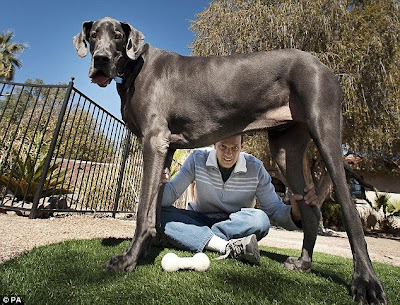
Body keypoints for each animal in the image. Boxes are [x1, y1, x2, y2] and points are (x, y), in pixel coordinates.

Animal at [73, 17, 386, 304]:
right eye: (93, 35)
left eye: (117, 36)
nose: (100, 60)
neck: (135, 68)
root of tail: (323, 65)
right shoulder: (167, 147)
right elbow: (156, 206)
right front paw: (149, 248)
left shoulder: (154, 140)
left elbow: (143, 212)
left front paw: (128, 260)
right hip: (285, 149)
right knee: (310, 210)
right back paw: (303, 263)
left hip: (325, 130)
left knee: (349, 210)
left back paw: (366, 282)